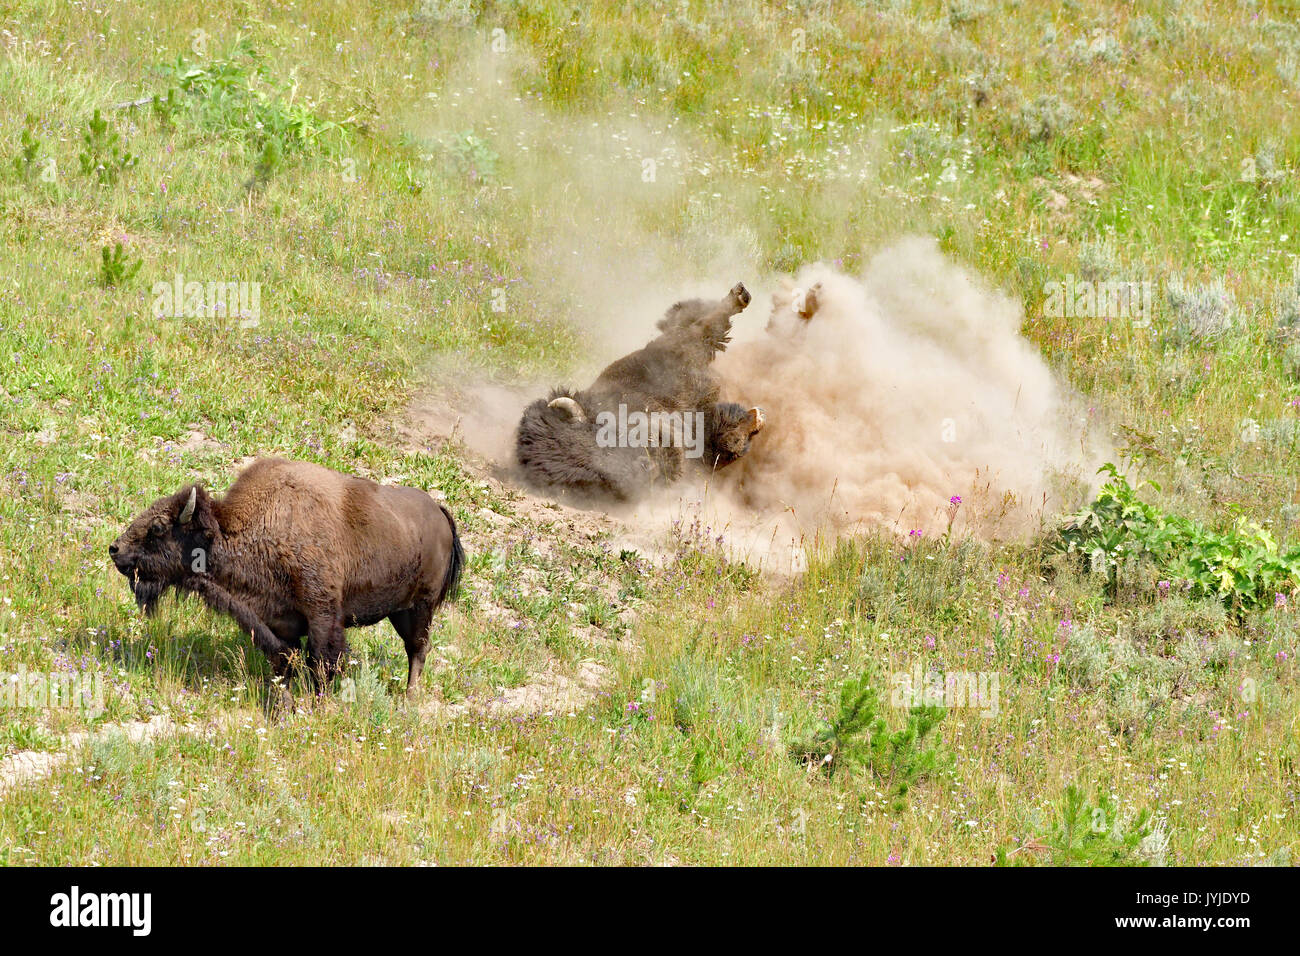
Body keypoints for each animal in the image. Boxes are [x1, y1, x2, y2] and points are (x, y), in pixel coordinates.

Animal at [107, 457, 462, 697]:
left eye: (157, 528)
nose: (115, 549)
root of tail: (440, 512)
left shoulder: (322, 616)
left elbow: (322, 662)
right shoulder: (276, 625)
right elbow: (286, 665)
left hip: (420, 607)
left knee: (417, 650)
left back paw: (410, 698)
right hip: (401, 610)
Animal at [514, 280, 764, 502]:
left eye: (601, 435)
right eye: (598, 481)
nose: (650, 469)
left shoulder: (669, 355)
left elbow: (701, 328)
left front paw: (739, 295)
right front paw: (753, 420)